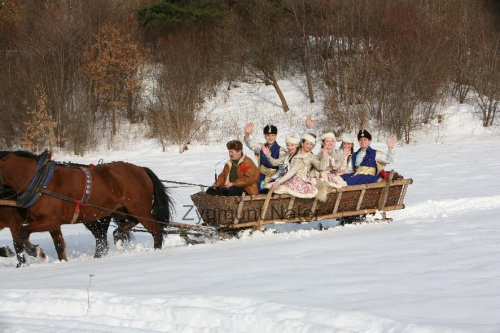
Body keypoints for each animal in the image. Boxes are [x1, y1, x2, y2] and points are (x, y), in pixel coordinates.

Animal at [0, 150, 174, 264]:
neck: (40, 183)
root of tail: (141, 169)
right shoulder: (51, 224)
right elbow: (59, 246)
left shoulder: (49, 221)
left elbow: (22, 234)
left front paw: (35, 251)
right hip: (118, 210)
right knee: (118, 229)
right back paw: (117, 235)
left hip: (139, 208)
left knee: (156, 230)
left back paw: (155, 251)